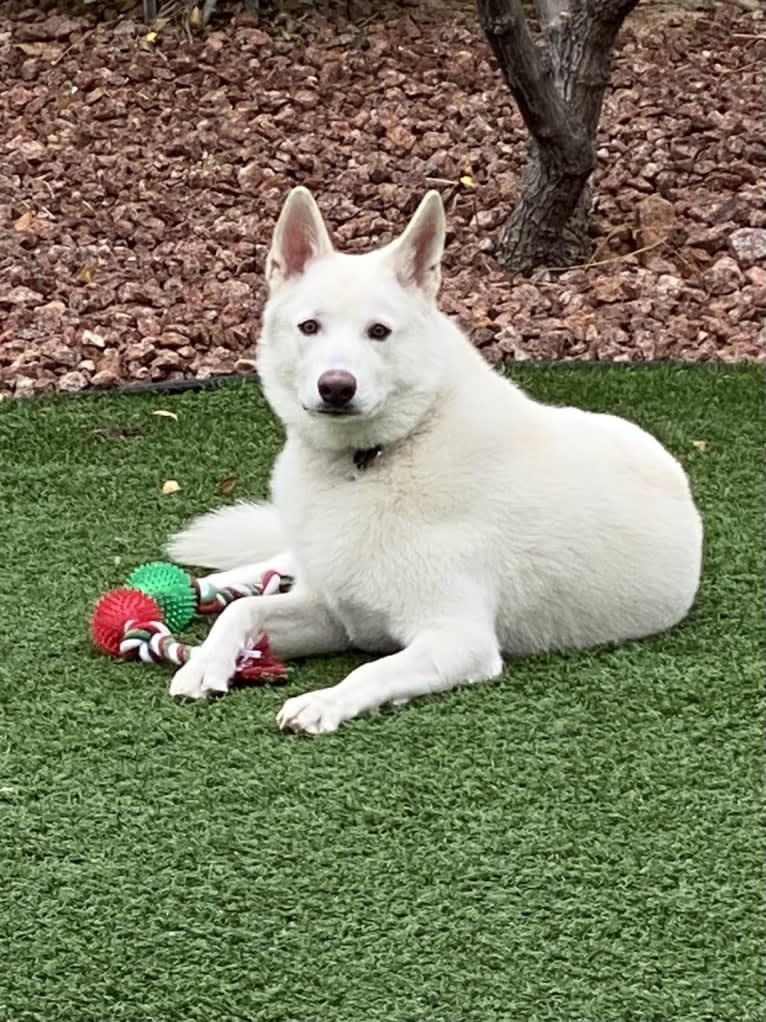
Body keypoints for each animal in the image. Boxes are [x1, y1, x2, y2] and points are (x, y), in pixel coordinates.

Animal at [165, 186, 706, 735]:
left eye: (379, 332)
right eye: (309, 327)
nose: (336, 387)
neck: (370, 461)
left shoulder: (454, 639)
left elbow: (369, 670)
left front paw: (323, 701)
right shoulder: (332, 612)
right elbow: (244, 613)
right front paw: (206, 662)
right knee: (271, 566)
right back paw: (210, 583)